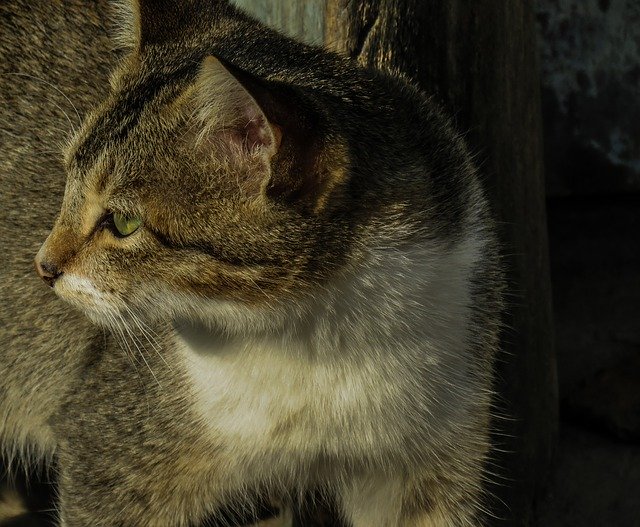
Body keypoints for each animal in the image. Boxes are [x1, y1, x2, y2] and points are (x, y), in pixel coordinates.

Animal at [2, 1, 508, 527]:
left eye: (124, 222)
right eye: (67, 181)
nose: (42, 267)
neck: (310, 340)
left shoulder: (432, 463)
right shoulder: (107, 451)